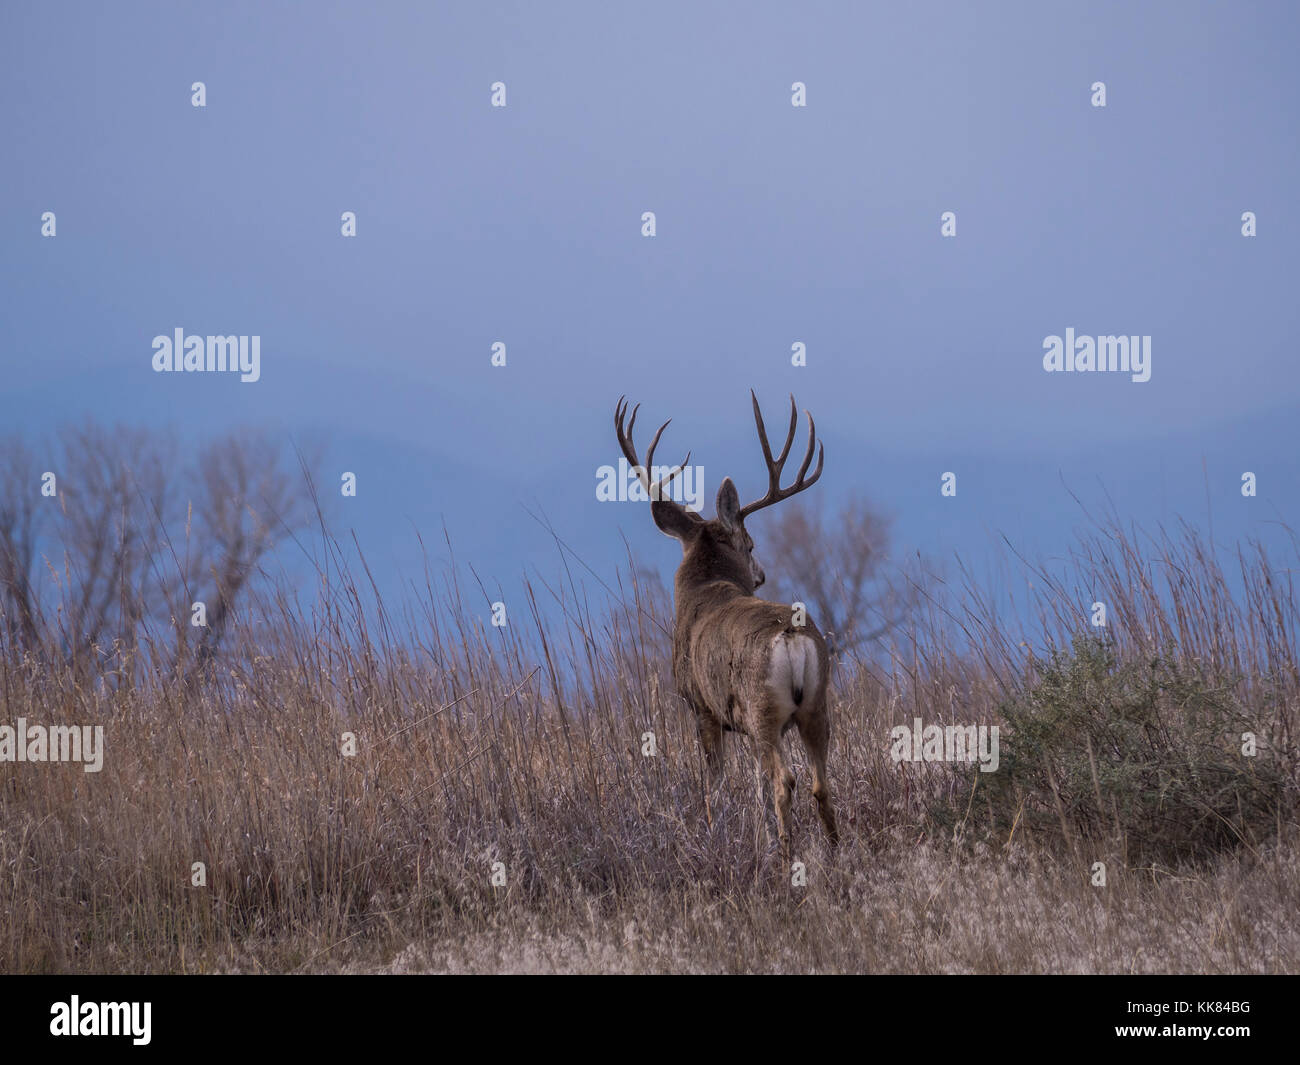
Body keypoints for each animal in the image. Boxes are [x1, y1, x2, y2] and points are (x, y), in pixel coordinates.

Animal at [614, 391, 838, 858]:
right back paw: (834, 851)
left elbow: (713, 788)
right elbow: (750, 787)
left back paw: (788, 857)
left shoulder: (702, 707)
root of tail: (792, 637)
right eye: (750, 545)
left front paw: (716, 835)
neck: (704, 591)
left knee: (783, 780)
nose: (762, 574)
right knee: (819, 783)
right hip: (815, 705)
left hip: (762, 710)